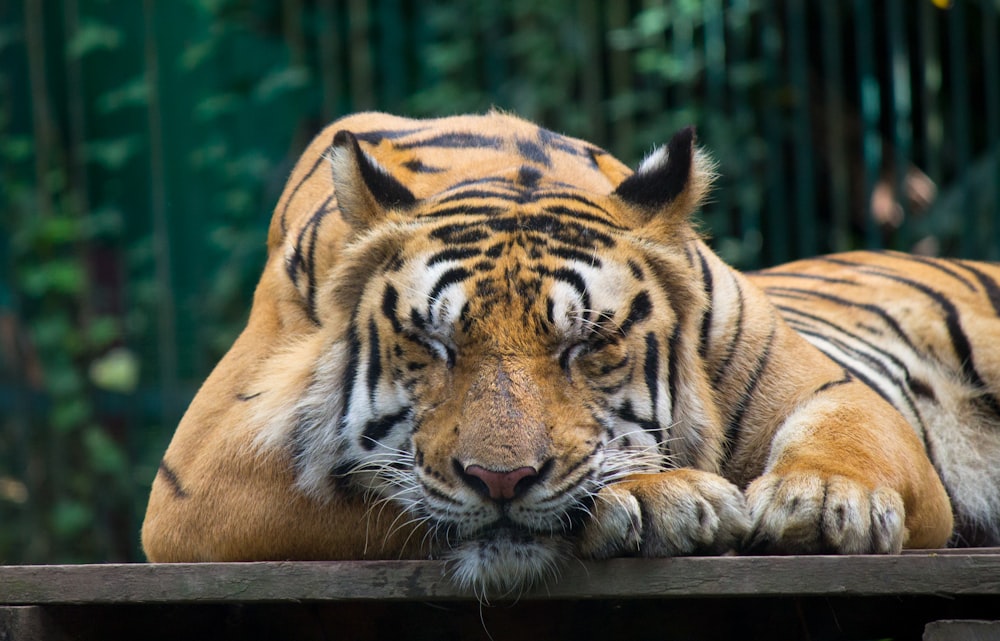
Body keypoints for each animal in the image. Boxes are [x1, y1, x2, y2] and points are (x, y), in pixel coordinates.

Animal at [143, 111, 1000, 596]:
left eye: (587, 344)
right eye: (435, 344)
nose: (501, 479)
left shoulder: (829, 385)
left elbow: (855, 432)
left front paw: (821, 500)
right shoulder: (199, 480)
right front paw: (661, 496)